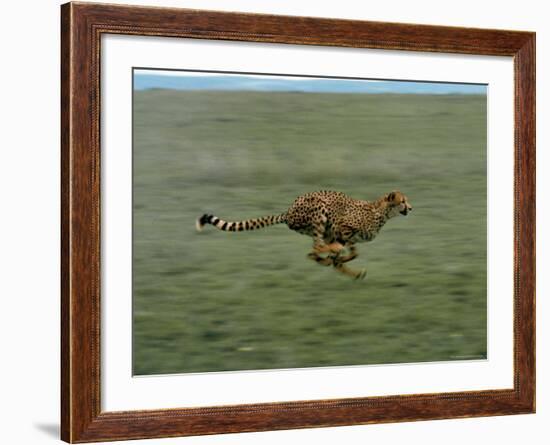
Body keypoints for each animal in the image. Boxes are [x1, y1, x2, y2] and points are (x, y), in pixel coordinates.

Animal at [196, 189, 412, 280]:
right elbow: (341, 250)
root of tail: (288, 211)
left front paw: (346, 264)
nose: (411, 208)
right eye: (403, 201)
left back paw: (333, 262)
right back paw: (327, 255)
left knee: (313, 251)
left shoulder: (347, 236)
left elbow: (352, 253)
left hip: (323, 228)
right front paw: (338, 258)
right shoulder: (341, 227)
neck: (381, 212)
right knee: (316, 246)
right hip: (320, 211)